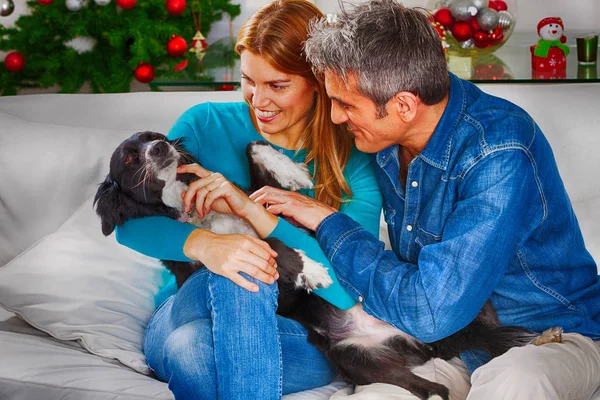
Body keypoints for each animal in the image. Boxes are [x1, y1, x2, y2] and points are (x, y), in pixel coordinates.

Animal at [94, 132, 564, 400]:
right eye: (129, 159)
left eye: (155, 137)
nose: (161, 147)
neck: (193, 211)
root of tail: (418, 345)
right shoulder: (216, 259)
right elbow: (250, 247)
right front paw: (313, 270)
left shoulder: (255, 201)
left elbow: (256, 158)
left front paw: (294, 175)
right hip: (356, 359)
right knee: (432, 388)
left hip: (458, 313)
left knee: (486, 341)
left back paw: (540, 337)